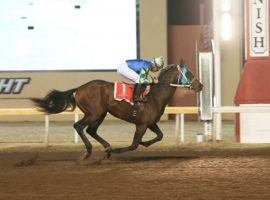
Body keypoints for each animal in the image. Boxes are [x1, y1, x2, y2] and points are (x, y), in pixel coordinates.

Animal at [31, 65, 202, 159]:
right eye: (189, 74)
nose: (200, 85)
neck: (155, 95)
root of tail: (78, 88)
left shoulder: (150, 122)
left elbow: (159, 136)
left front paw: (145, 143)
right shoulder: (141, 124)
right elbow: (133, 145)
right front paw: (118, 150)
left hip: (100, 114)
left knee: (91, 130)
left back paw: (106, 148)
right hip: (94, 113)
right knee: (79, 126)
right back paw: (90, 151)